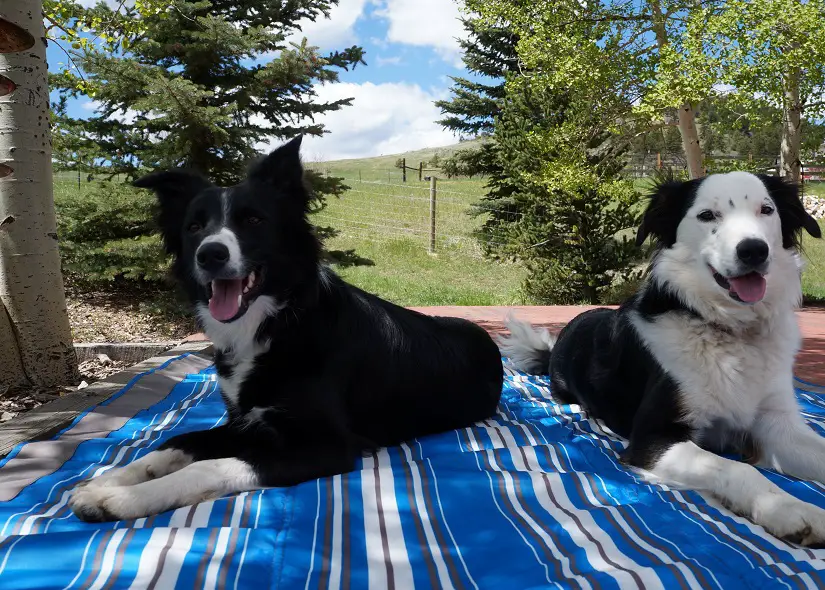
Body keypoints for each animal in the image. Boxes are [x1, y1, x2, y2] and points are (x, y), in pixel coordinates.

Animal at [69, 135, 502, 524]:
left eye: (254, 220)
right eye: (194, 227)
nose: (210, 254)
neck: (275, 323)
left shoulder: (326, 445)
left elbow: (208, 465)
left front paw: (124, 499)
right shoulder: (247, 421)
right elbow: (178, 442)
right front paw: (105, 483)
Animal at [498, 173, 824, 548]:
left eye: (766, 210)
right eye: (707, 215)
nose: (754, 250)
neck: (730, 330)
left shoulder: (777, 425)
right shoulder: (651, 439)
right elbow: (738, 467)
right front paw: (789, 509)